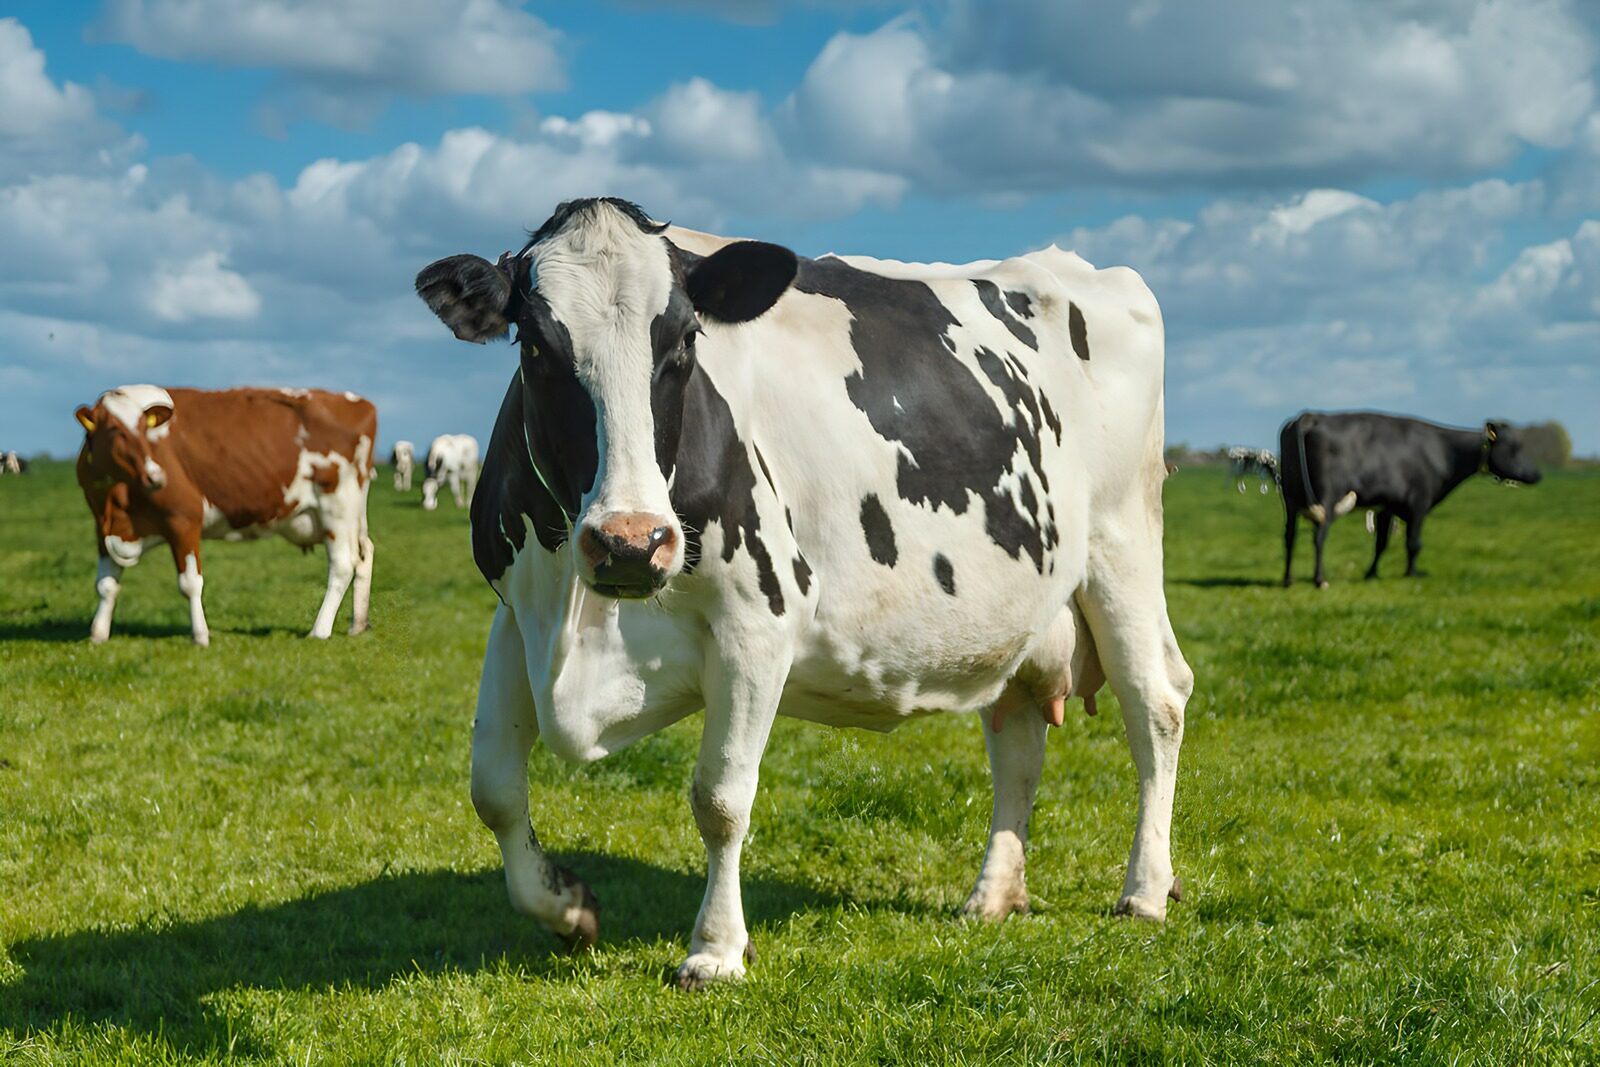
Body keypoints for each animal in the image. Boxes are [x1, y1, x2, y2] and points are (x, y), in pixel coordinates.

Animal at [74, 385, 377, 645]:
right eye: (114, 429)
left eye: (144, 429)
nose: (155, 475)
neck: (116, 502)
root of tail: (360, 403)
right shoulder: (102, 528)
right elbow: (106, 585)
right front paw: (98, 635)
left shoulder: (184, 519)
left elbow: (190, 583)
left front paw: (200, 637)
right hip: (353, 514)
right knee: (364, 553)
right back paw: (357, 625)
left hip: (337, 506)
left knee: (342, 565)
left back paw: (319, 630)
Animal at [414, 197, 1192, 989]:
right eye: (536, 349)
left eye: (685, 342)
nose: (631, 540)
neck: (585, 612)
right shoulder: (517, 617)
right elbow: (493, 788)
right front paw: (568, 907)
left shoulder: (757, 620)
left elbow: (720, 797)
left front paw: (716, 949)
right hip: (1021, 606)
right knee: (1018, 733)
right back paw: (993, 896)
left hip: (1122, 543)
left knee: (1156, 702)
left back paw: (1144, 890)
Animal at [1278, 410, 1542, 588]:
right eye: (1514, 447)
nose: (1536, 474)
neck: (1442, 451)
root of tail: (1309, 416)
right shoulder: (1419, 503)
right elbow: (1414, 543)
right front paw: (1412, 573)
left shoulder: (1387, 506)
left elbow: (1381, 543)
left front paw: (1371, 574)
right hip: (1328, 496)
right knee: (1319, 535)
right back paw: (1319, 580)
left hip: (1290, 497)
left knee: (1290, 536)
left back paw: (1288, 579)